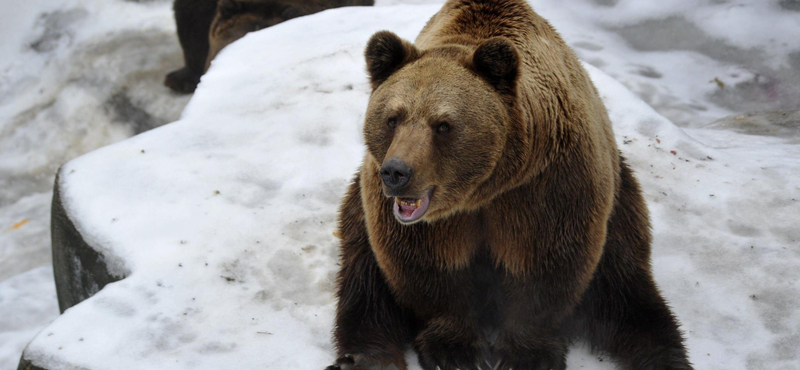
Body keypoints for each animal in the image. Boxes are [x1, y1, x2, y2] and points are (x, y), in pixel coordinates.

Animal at [330, 0, 692, 370]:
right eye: (392, 118)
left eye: (443, 125)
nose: (397, 172)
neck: (482, 190)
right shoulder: (420, 219)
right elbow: (429, 267)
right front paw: (454, 350)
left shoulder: (544, 187)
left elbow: (542, 266)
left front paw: (525, 355)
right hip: (359, 207)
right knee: (364, 282)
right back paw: (364, 357)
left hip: (620, 202)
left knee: (626, 288)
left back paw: (662, 354)